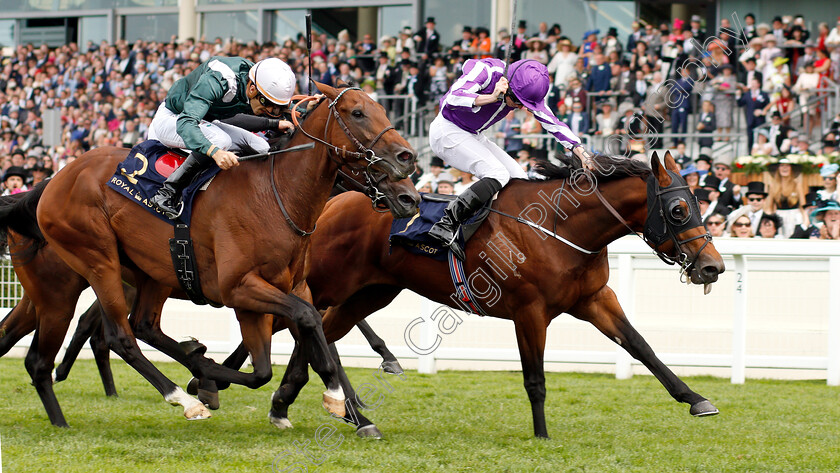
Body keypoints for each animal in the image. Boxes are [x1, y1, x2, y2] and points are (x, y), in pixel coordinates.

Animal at [0, 83, 418, 426]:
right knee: (119, 337)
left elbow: (289, 349)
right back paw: (182, 398)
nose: (408, 166)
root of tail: (52, 180)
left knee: (132, 328)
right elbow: (304, 326)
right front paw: (336, 397)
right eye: (357, 112)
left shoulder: (292, 287)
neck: (276, 194)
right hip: (92, 264)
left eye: (382, 109)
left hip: (132, 276)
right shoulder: (240, 288)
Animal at [270, 150, 728, 436]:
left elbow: (640, 346)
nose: (713, 266)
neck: (561, 227)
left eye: (699, 204)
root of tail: (334, 202)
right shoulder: (530, 310)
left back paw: (302, 404)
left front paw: (696, 398)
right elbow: (535, 377)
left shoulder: (594, 299)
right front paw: (542, 435)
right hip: (327, 283)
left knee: (319, 331)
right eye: (678, 210)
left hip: (371, 292)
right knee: (304, 324)